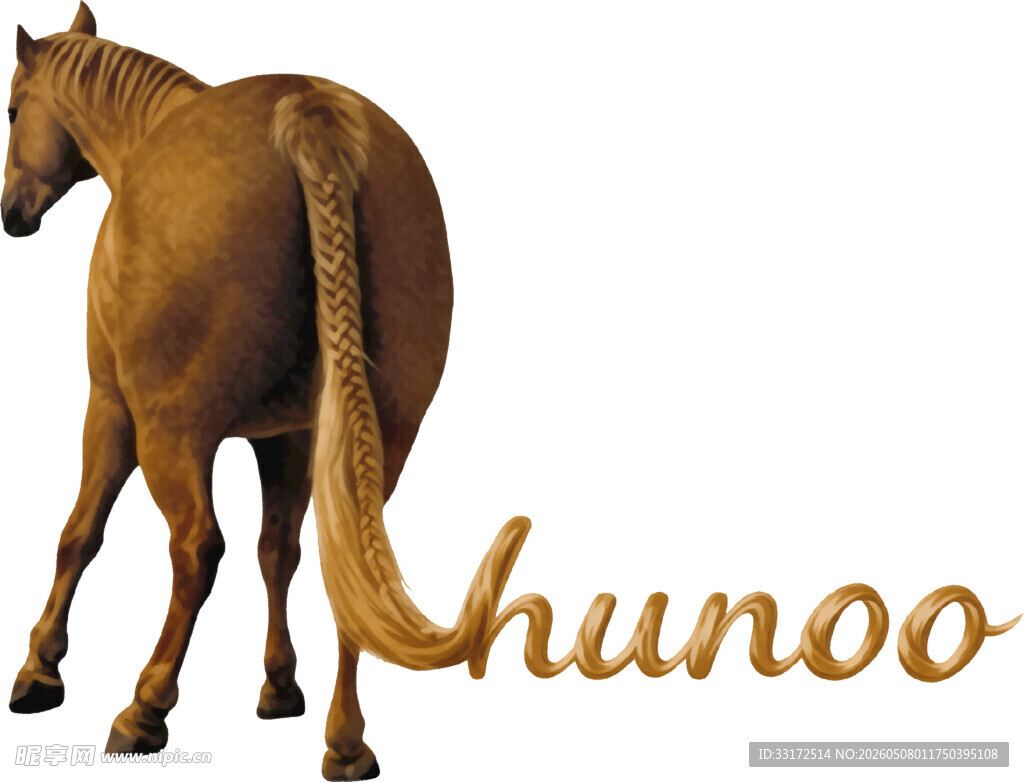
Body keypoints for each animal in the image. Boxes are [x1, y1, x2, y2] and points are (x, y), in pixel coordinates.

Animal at [2, 4, 533, 779]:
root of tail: (307, 115)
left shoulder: (111, 409)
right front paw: (281, 687)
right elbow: (277, 552)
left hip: (171, 434)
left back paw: (145, 707)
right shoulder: (287, 437)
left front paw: (40, 671)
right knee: (354, 561)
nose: (12, 212)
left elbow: (80, 534)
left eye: (13, 109)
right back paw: (347, 743)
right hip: (377, 435)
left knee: (196, 549)